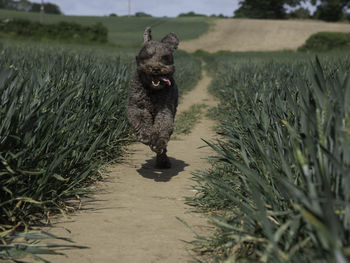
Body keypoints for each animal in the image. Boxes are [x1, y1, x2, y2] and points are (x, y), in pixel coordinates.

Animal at [126, 27, 180, 169]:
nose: (156, 68)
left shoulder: (165, 109)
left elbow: (162, 125)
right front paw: (146, 135)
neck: (152, 91)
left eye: (165, 58)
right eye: (147, 56)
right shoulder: (136, 107)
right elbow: (141, 120)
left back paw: (162, 159)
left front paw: (157, 140)